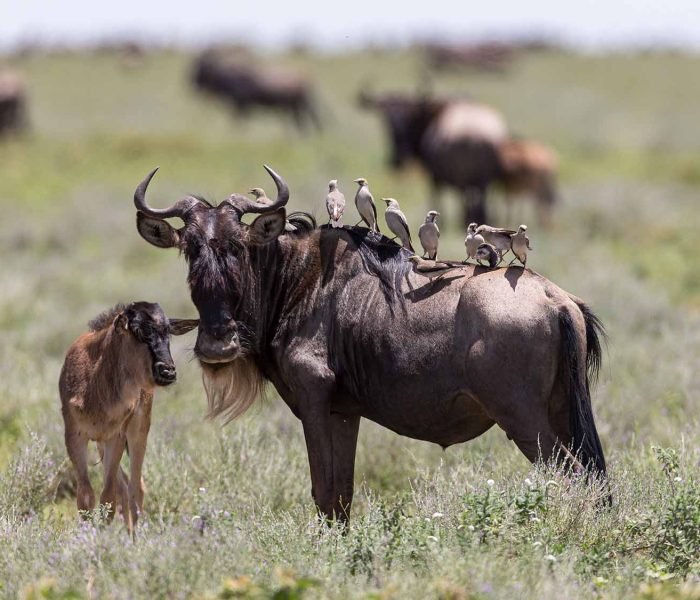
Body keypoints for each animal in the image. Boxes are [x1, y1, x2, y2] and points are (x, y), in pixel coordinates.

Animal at [59, 302, 197, 532]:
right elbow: (86, 497)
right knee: (125, 486)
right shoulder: (74, 436)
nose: (167, 372)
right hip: (101, 443)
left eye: (168, 331)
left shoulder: (116, 437)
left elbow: (108, 497)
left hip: (137, 432)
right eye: (139, 331)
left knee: (135, 487)